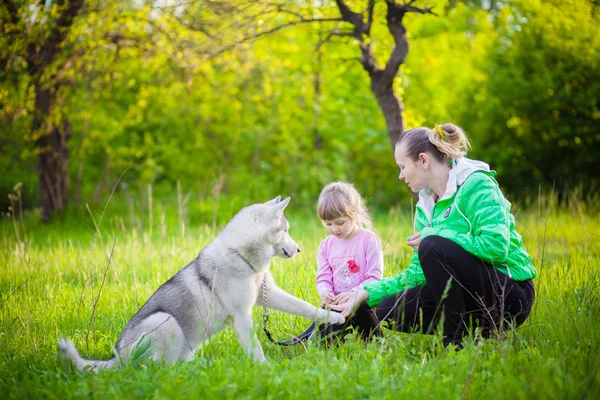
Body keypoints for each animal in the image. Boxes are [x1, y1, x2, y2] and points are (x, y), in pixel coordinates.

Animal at [59, 197, 346, 372]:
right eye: (284, 230)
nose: (299, 250)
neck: (242, 255)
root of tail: (117, 358)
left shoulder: (269, 295)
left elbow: (305, 307)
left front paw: (333, 316)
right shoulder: (243, 315)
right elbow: (255, 346)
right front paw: (265, 369)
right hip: (164, 320)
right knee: (160, 370)